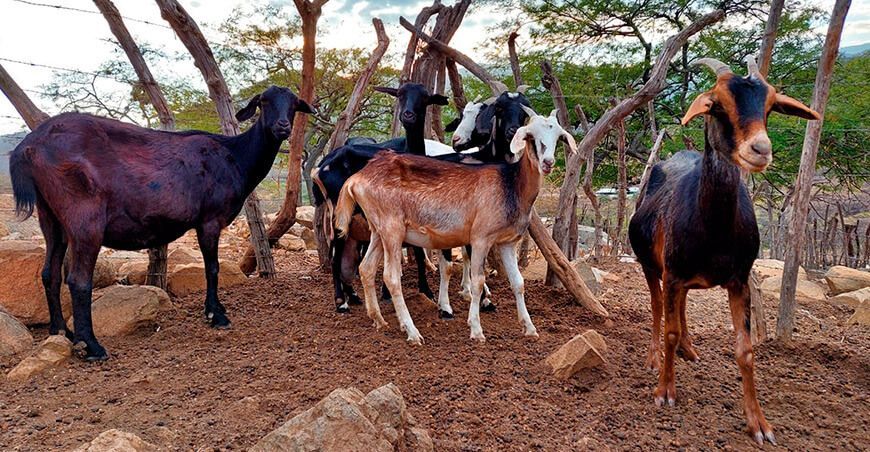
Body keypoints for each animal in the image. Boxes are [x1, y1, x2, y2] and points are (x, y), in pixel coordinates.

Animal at [10, 85, 313, 360]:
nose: (283, 126)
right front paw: (216, 314)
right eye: (264, 101)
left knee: (50, 273)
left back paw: (61, 332)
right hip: (84, 218)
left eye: (294, 104)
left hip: (50, 217)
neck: (235, 156)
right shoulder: (210, 219)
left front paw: (216, 310)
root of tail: (27, 147)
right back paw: (92, 347)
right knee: (78, 280)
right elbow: (212, 268)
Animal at [334, 108, 576, 344]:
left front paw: (530, 328)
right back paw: (412, 332)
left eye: (558, 136)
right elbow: (478, 281)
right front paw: (476, 330)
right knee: (391, 278)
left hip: (378, 230)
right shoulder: (480, 238)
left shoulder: (507, 242)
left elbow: (518, 282)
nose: (547, 162)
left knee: (366, 268)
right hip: (392, 228)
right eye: (530, 136)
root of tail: (356, 179)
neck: (510, 184)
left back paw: (379, 320)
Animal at [627, 57, 818, 445]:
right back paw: (657, 357)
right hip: (651, 266)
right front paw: (664, 391)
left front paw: (759, 423)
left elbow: (745, 350)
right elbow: (667, 326)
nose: (760, 149)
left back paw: (687, 348)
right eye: (716, 105)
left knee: (681, 307)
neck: (713, 230)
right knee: (657, 309)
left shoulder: (739, 280)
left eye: (770, 105)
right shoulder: (671, 273)